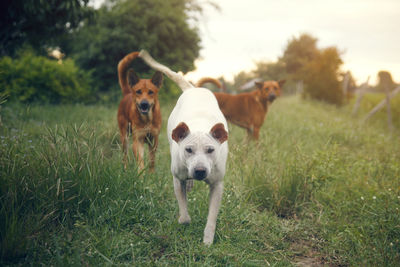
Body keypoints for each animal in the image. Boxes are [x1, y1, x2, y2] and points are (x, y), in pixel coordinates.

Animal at [140, 50, 228, 247]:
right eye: (188, 150)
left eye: (211, 150)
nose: (200, 170)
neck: (199, 125)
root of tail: (192, 88)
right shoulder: (177, 178)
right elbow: (184, 209)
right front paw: (183, 219)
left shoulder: (217, 185)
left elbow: (212, 216)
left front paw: (207, 240)